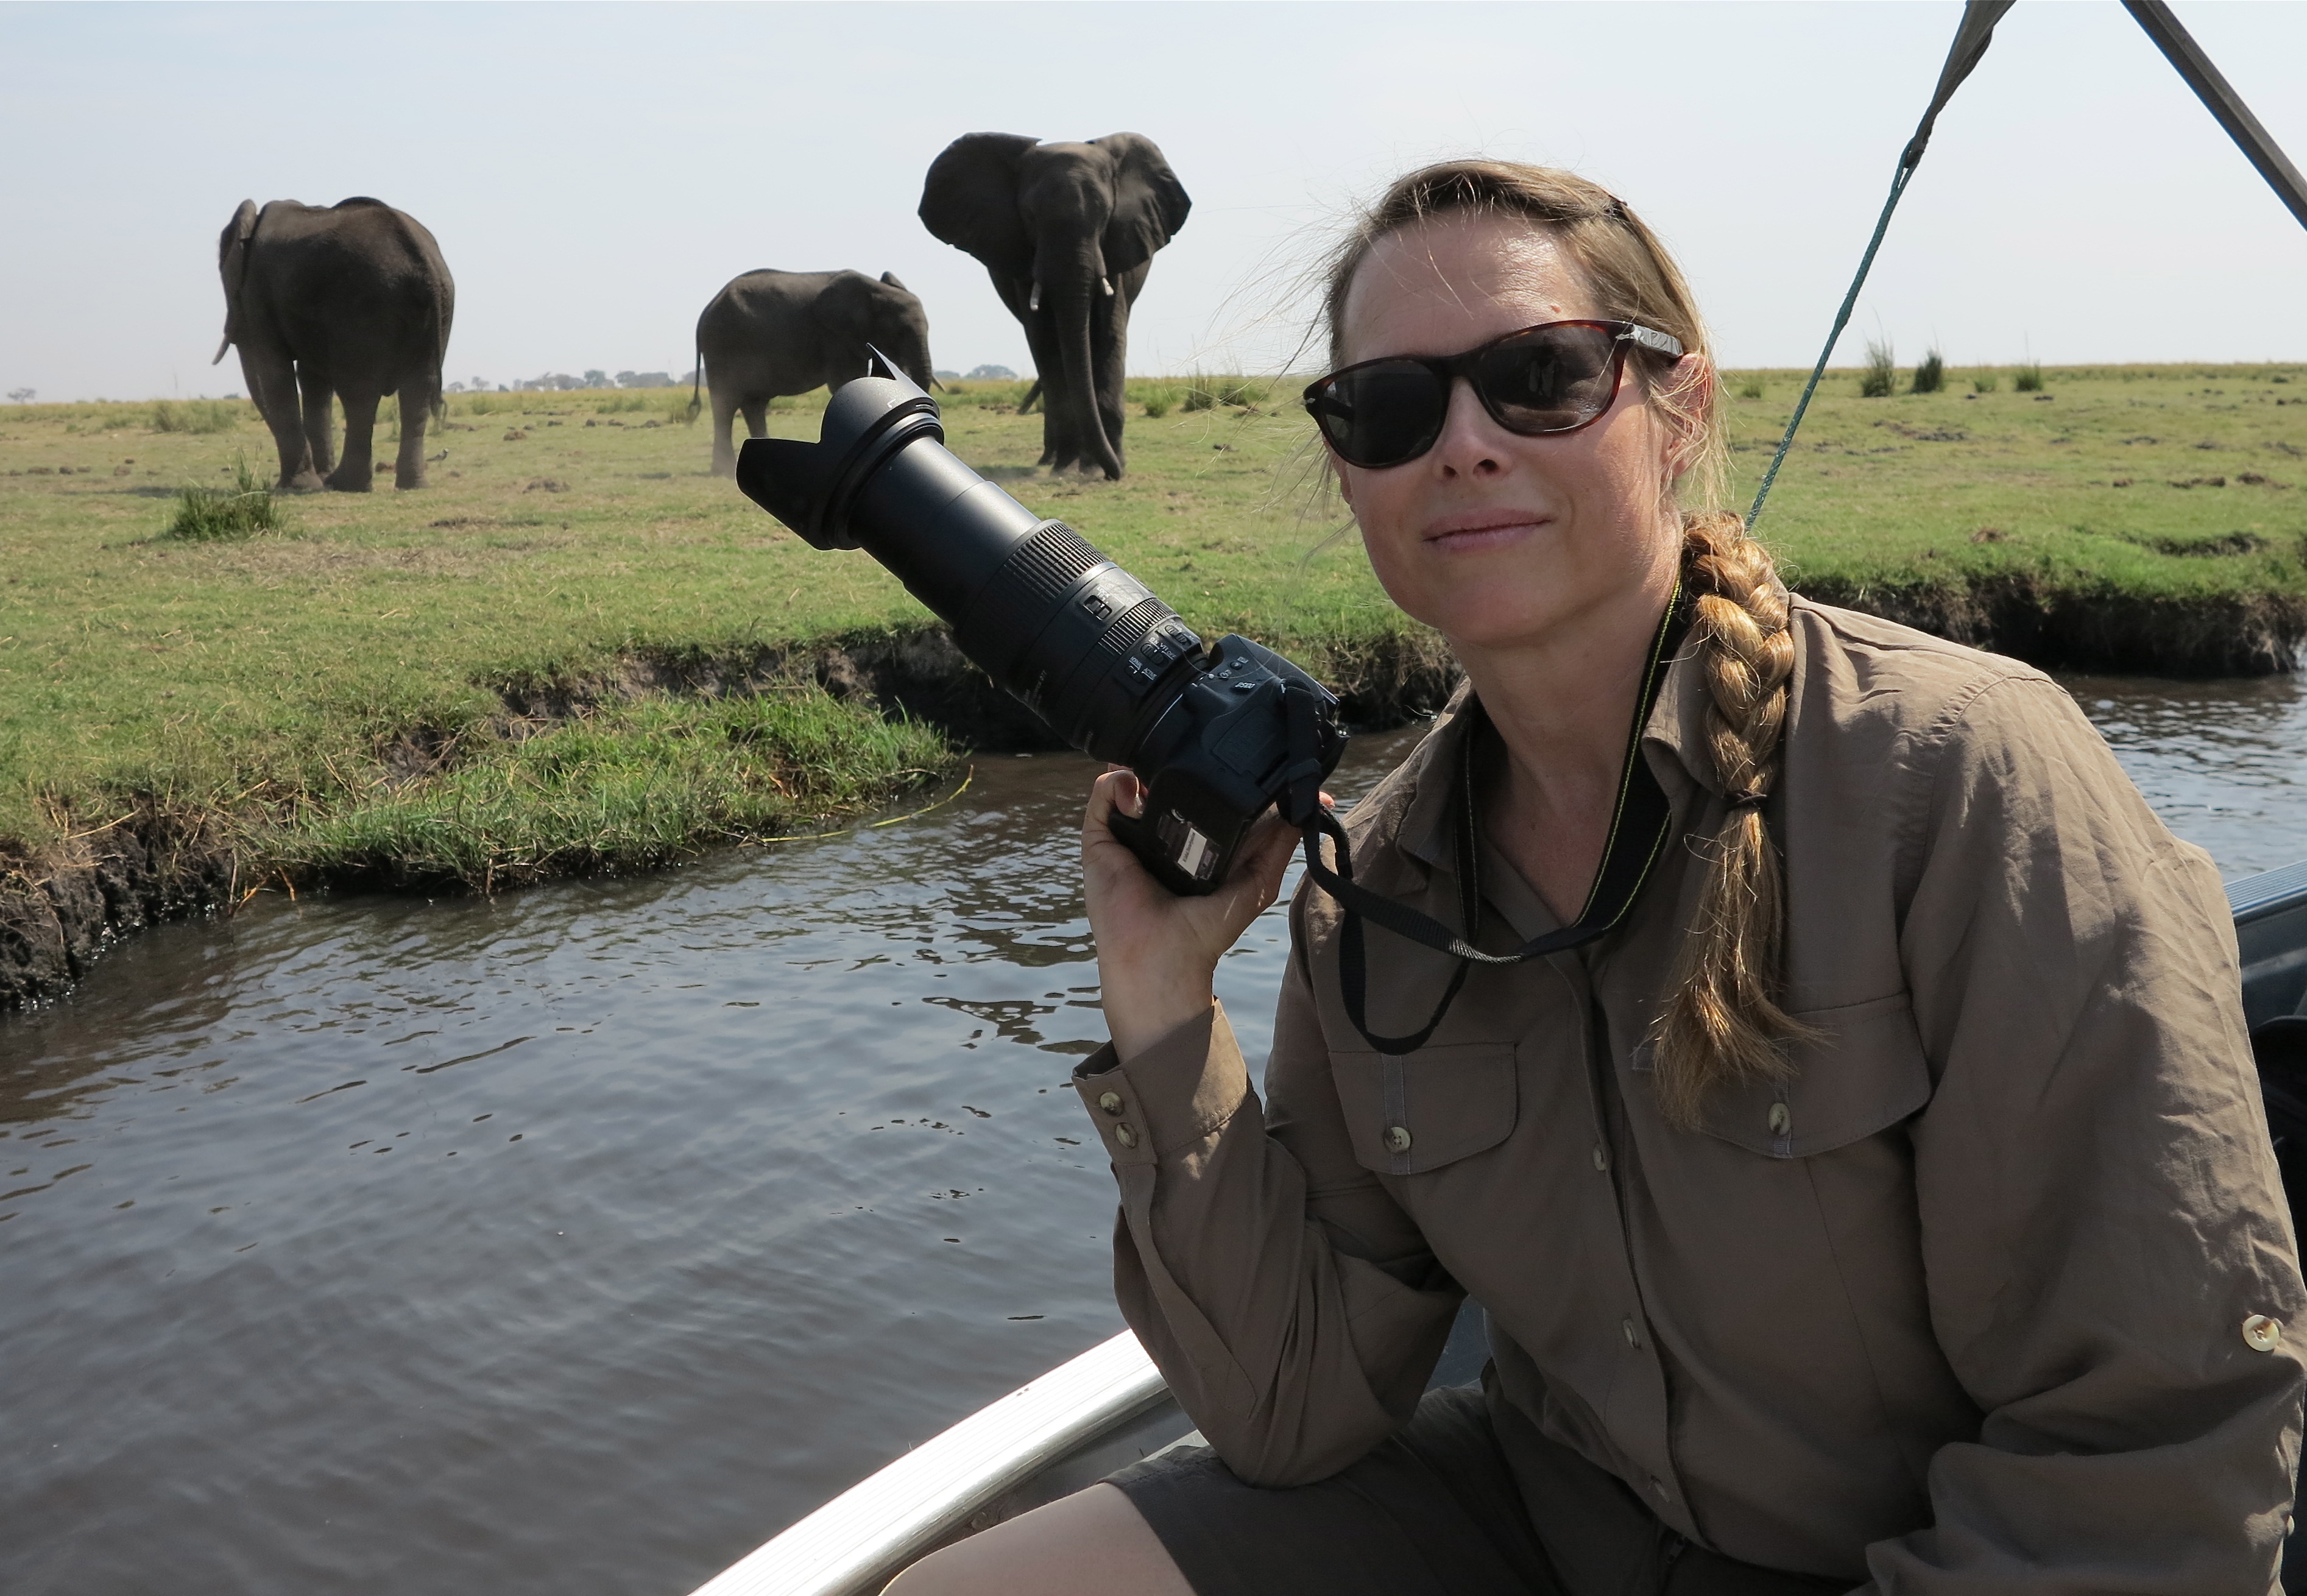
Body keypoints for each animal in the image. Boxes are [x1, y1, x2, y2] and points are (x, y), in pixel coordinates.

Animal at [214, 198, 452, 493]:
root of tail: (422, 261)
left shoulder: (255, 292)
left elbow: (272, 372)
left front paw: (299, 487)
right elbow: (312, 380)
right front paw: (316, 479)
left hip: (362, 304)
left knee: (359, 392)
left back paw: (345, 484)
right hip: (440, 305)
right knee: (417, 391)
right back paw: (410, 486)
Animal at [692, 267, 936, 477]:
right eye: (900, 332)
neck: (876, 290)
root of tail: (705, 313)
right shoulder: (834, 336)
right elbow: (845, 381)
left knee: (754, 404)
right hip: (723, 345)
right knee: (726, 404)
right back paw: (724, 471)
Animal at [918, 132, 1190, 479]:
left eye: (1105, 215)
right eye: (1031, 217)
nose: (1114, 473)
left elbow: (1109, 335)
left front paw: (1097, 472)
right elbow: (1046, 340)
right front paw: (1067, 470)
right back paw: (1050, 460)